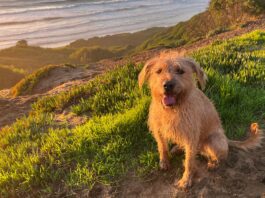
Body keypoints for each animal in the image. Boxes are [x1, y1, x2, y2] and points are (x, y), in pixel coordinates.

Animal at [138, 52, 262, 189]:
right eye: (159, 71)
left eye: (180, 70)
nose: (168, 85)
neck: (172, 110)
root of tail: (226, 139)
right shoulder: (158, 129)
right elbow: (162, 146)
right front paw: (164, 162)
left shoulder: (191, 136)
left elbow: (189, 161)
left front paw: (186, 180)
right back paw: (177, 149)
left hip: (213, 141)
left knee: (222, 155)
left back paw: (214, 163)